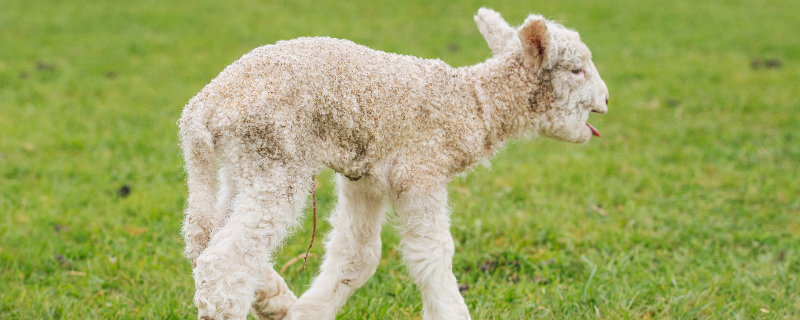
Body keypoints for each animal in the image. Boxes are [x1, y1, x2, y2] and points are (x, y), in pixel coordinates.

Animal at [180, 7, 608, 320]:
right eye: (576, 70)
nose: (605, 100)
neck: (473, 103)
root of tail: (201, 110)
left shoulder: (364, 178)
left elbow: (357, 256)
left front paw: (306, 311)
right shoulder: (420, 171)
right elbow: (432, 255)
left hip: (242, 165)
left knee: (204, 239)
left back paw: (273, 297)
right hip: (275, 159)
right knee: (224, 261)